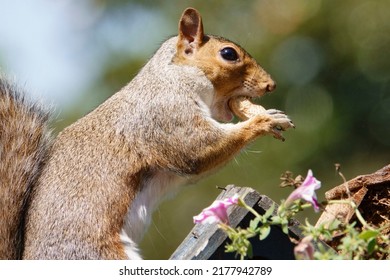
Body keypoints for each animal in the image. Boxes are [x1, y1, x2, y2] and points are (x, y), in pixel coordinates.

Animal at [0, 7, 292, 260]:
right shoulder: (166, 116)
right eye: (229, 54)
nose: (270, 85)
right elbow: (197, 149)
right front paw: (265, 120)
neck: (174, 76)